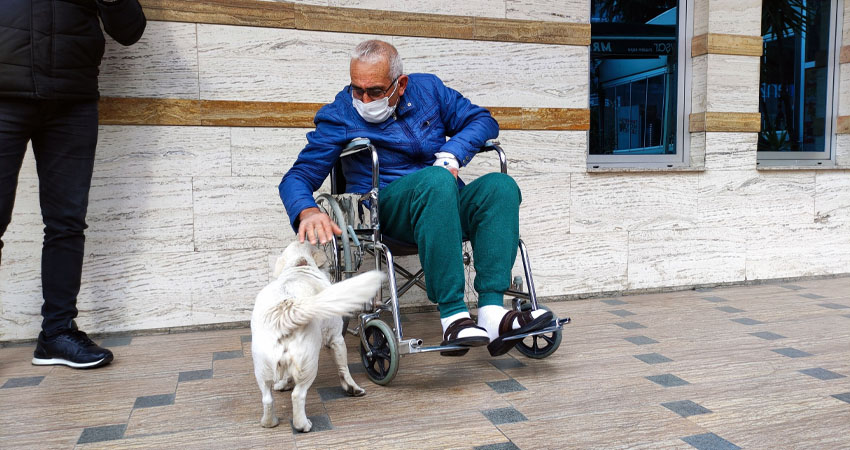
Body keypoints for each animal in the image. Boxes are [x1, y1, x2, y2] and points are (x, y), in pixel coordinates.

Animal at [248, 243, 380, 432]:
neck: (299, 266)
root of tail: (286, 308)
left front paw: (284, 383)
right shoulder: (337, 339)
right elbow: (344, 369)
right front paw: (353, 388)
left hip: (262, 366)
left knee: (267, 397)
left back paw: (269, 422)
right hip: (309, 362)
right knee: (298, 395)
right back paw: (302, 424)